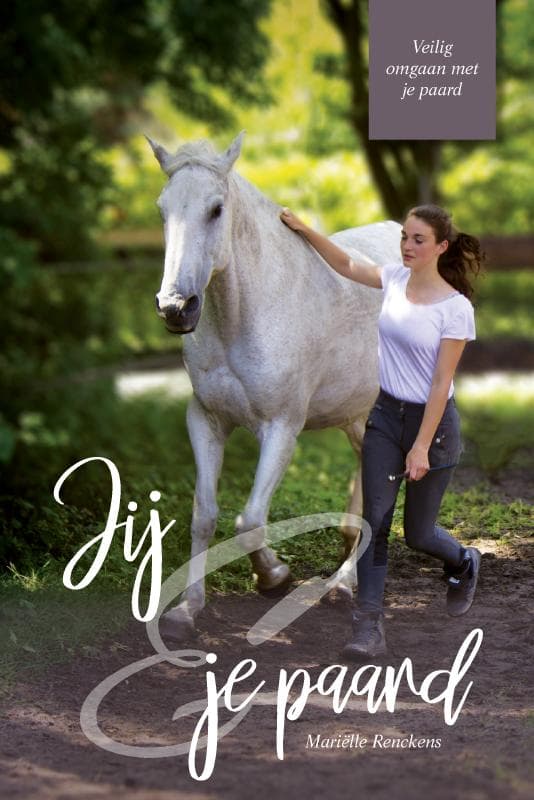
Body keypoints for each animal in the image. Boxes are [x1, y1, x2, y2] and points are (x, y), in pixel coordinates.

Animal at [147, 131, 402, 639]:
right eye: (163, 209)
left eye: (216, 209)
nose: (176, 307)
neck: (248, 311)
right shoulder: (205, 420)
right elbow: (204, 514)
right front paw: (187, 609)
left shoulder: (282, 428)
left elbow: (249, 520)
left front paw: (274, 576)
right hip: (358, 415)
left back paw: (342, 585)